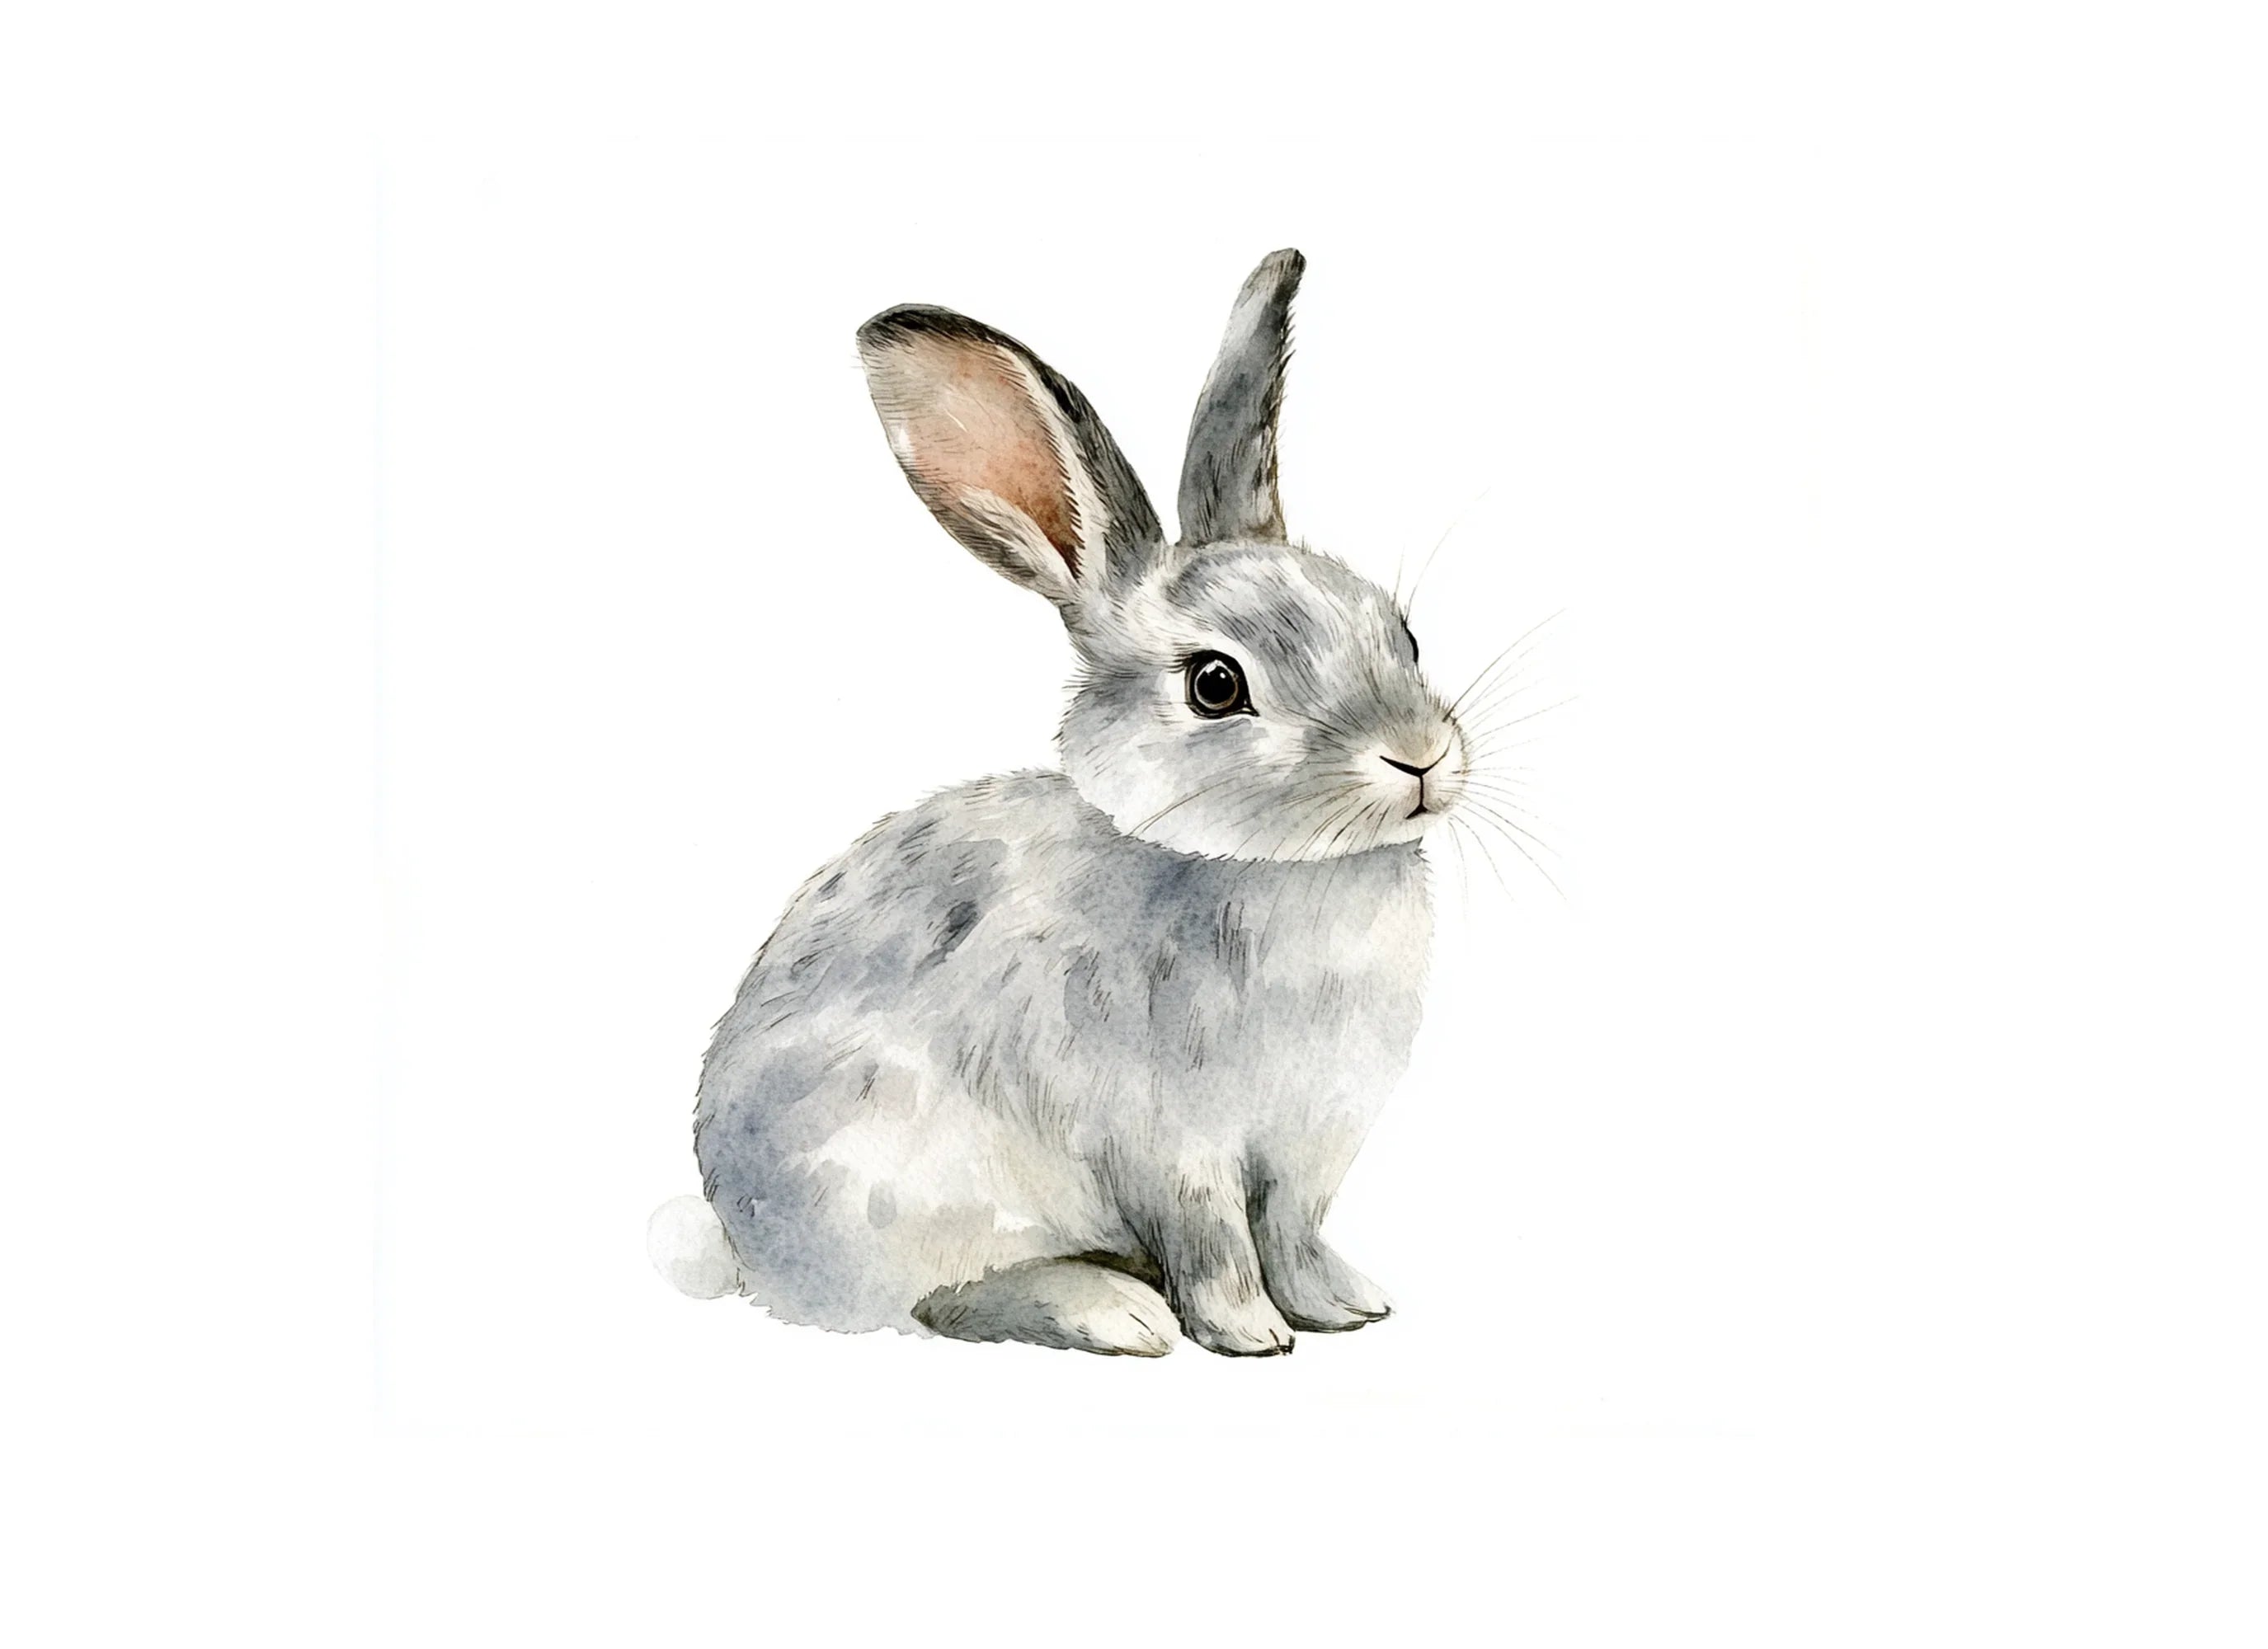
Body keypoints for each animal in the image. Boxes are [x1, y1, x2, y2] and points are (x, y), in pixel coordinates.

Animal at [651, 249, 1475, 1356]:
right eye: (1215, 684)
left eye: (1402, 634)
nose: (1417, 758)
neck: (1277, 870)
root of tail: (744, 1252)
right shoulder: (1172, 1144)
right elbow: (1215, 1240)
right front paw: (1248, 1333)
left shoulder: (1308, 1147)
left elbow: (1294, 1231)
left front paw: (1345, 1306)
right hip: (907, 1181)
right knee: (943, 1299)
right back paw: (1113, 1310)